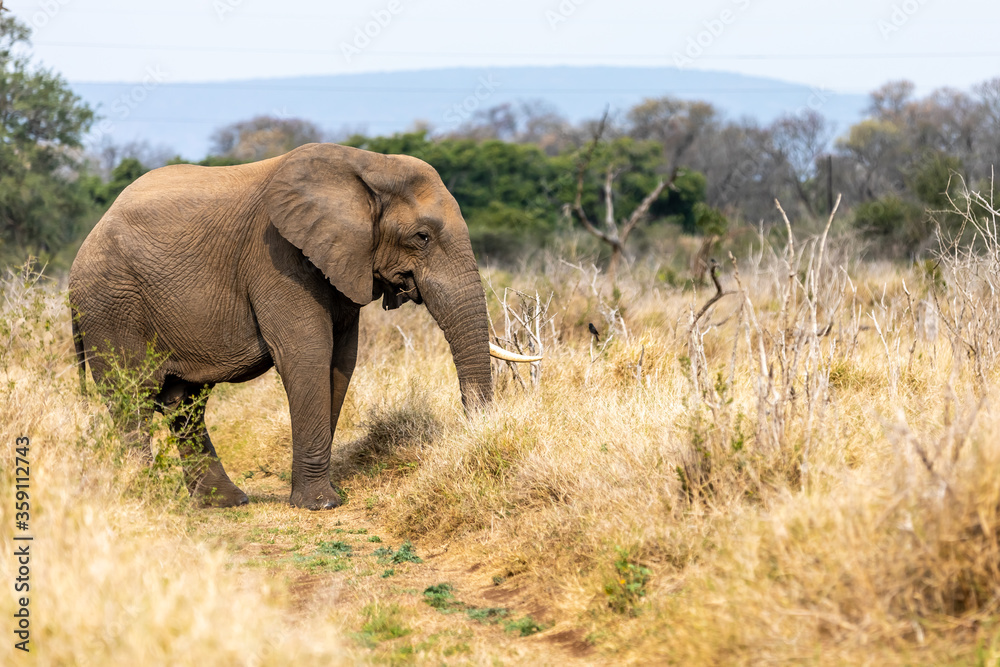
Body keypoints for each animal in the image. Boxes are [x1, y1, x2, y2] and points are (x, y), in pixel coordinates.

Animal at [69, 142, 540, 510]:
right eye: (421, 237)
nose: (478, 439)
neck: (368, 166)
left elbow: (341, 360)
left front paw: (321, 495)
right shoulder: (275, 257)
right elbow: (307, 353)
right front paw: (321, 504)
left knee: (183, 403)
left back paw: (225, 502)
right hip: (111, 307)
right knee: (132, 398)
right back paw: (145, 498)